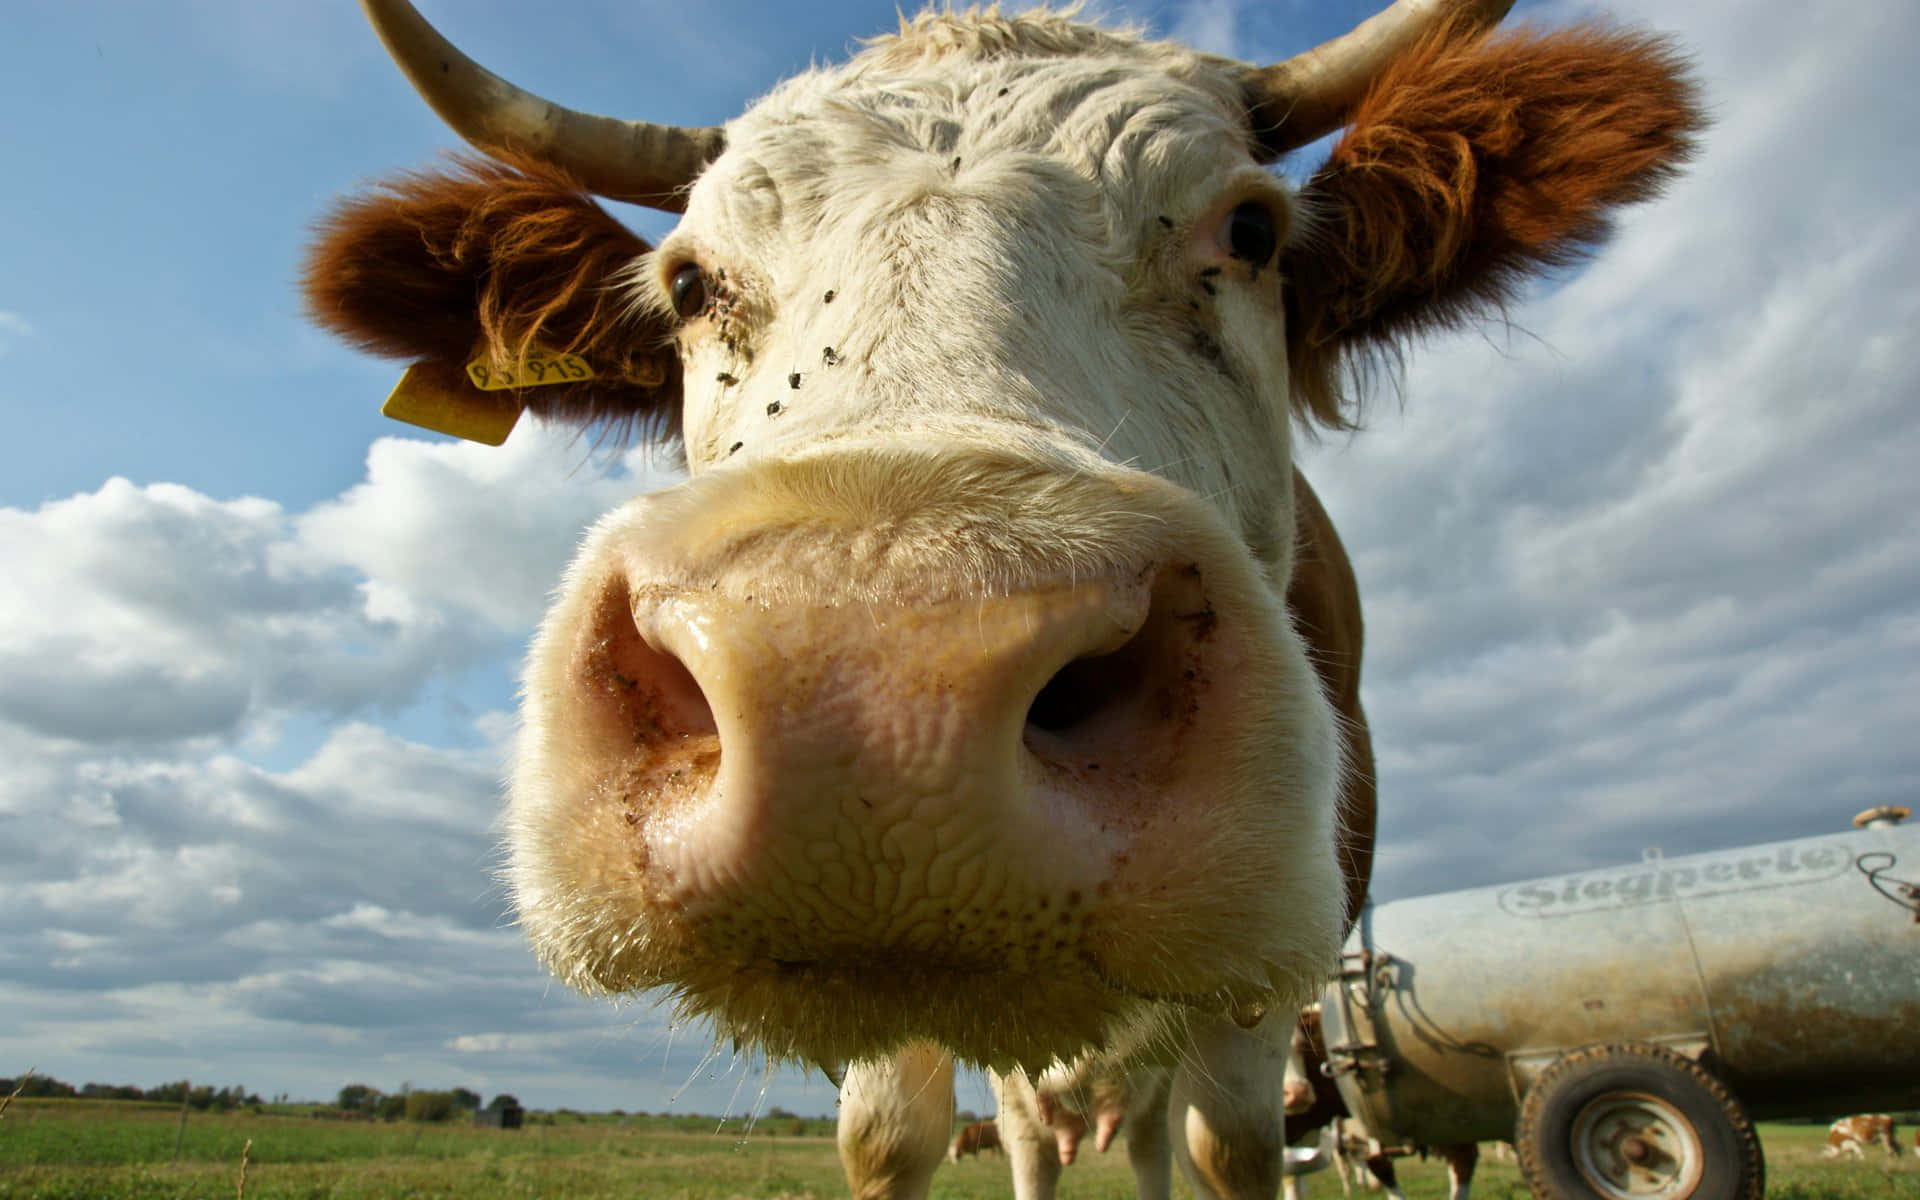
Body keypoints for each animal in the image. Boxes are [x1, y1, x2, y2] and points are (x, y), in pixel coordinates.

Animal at [303, 0, 1699, 1195]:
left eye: (1250, 233)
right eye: (690, 285)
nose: (875, 696)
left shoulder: (1284, 953)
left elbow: (1236, 1147)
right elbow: (892, 1142)